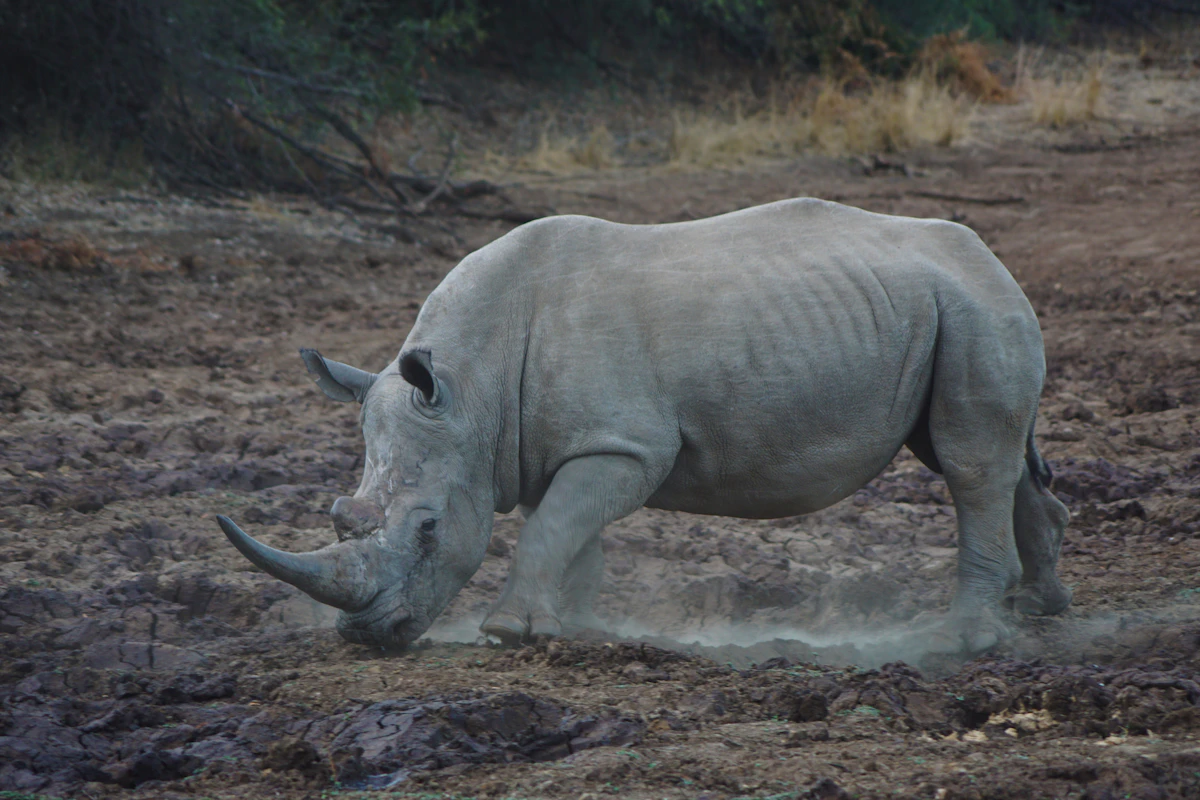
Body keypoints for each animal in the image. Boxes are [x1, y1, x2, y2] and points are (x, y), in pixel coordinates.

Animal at [216, 198, 1072, 652]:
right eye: (340, 515)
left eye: (428, 529)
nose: (369, 636)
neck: (469, 389)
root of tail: (991, 257)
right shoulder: (552, 444)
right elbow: (568, 531)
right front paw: (571, 626)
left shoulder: (625, 445)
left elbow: (552, 526)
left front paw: (510, 632)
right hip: (944, 308)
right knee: (987, 459)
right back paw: (1043, 611)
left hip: (974, 309)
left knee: (967, 463)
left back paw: (963, 640)